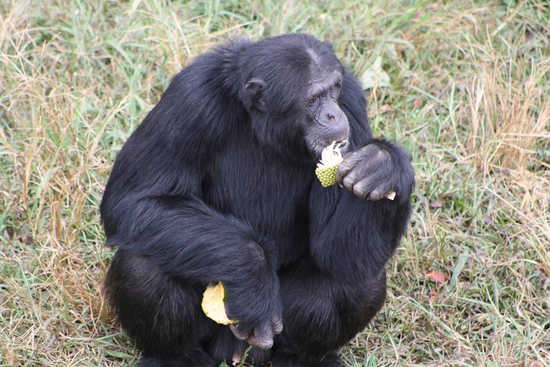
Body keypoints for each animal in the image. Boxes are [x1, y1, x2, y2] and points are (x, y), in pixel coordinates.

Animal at [101, 33, 416, 366]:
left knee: (356, 278)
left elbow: (337, 250)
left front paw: (383, 165)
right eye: (314, 98)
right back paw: (175, 358)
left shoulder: (352, 103)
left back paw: (303, 359)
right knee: (142, 264)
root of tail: (238, 351)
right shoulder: (190, 97)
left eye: (334, 89)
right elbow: (136, 199)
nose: (333, 112)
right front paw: (255, 278)